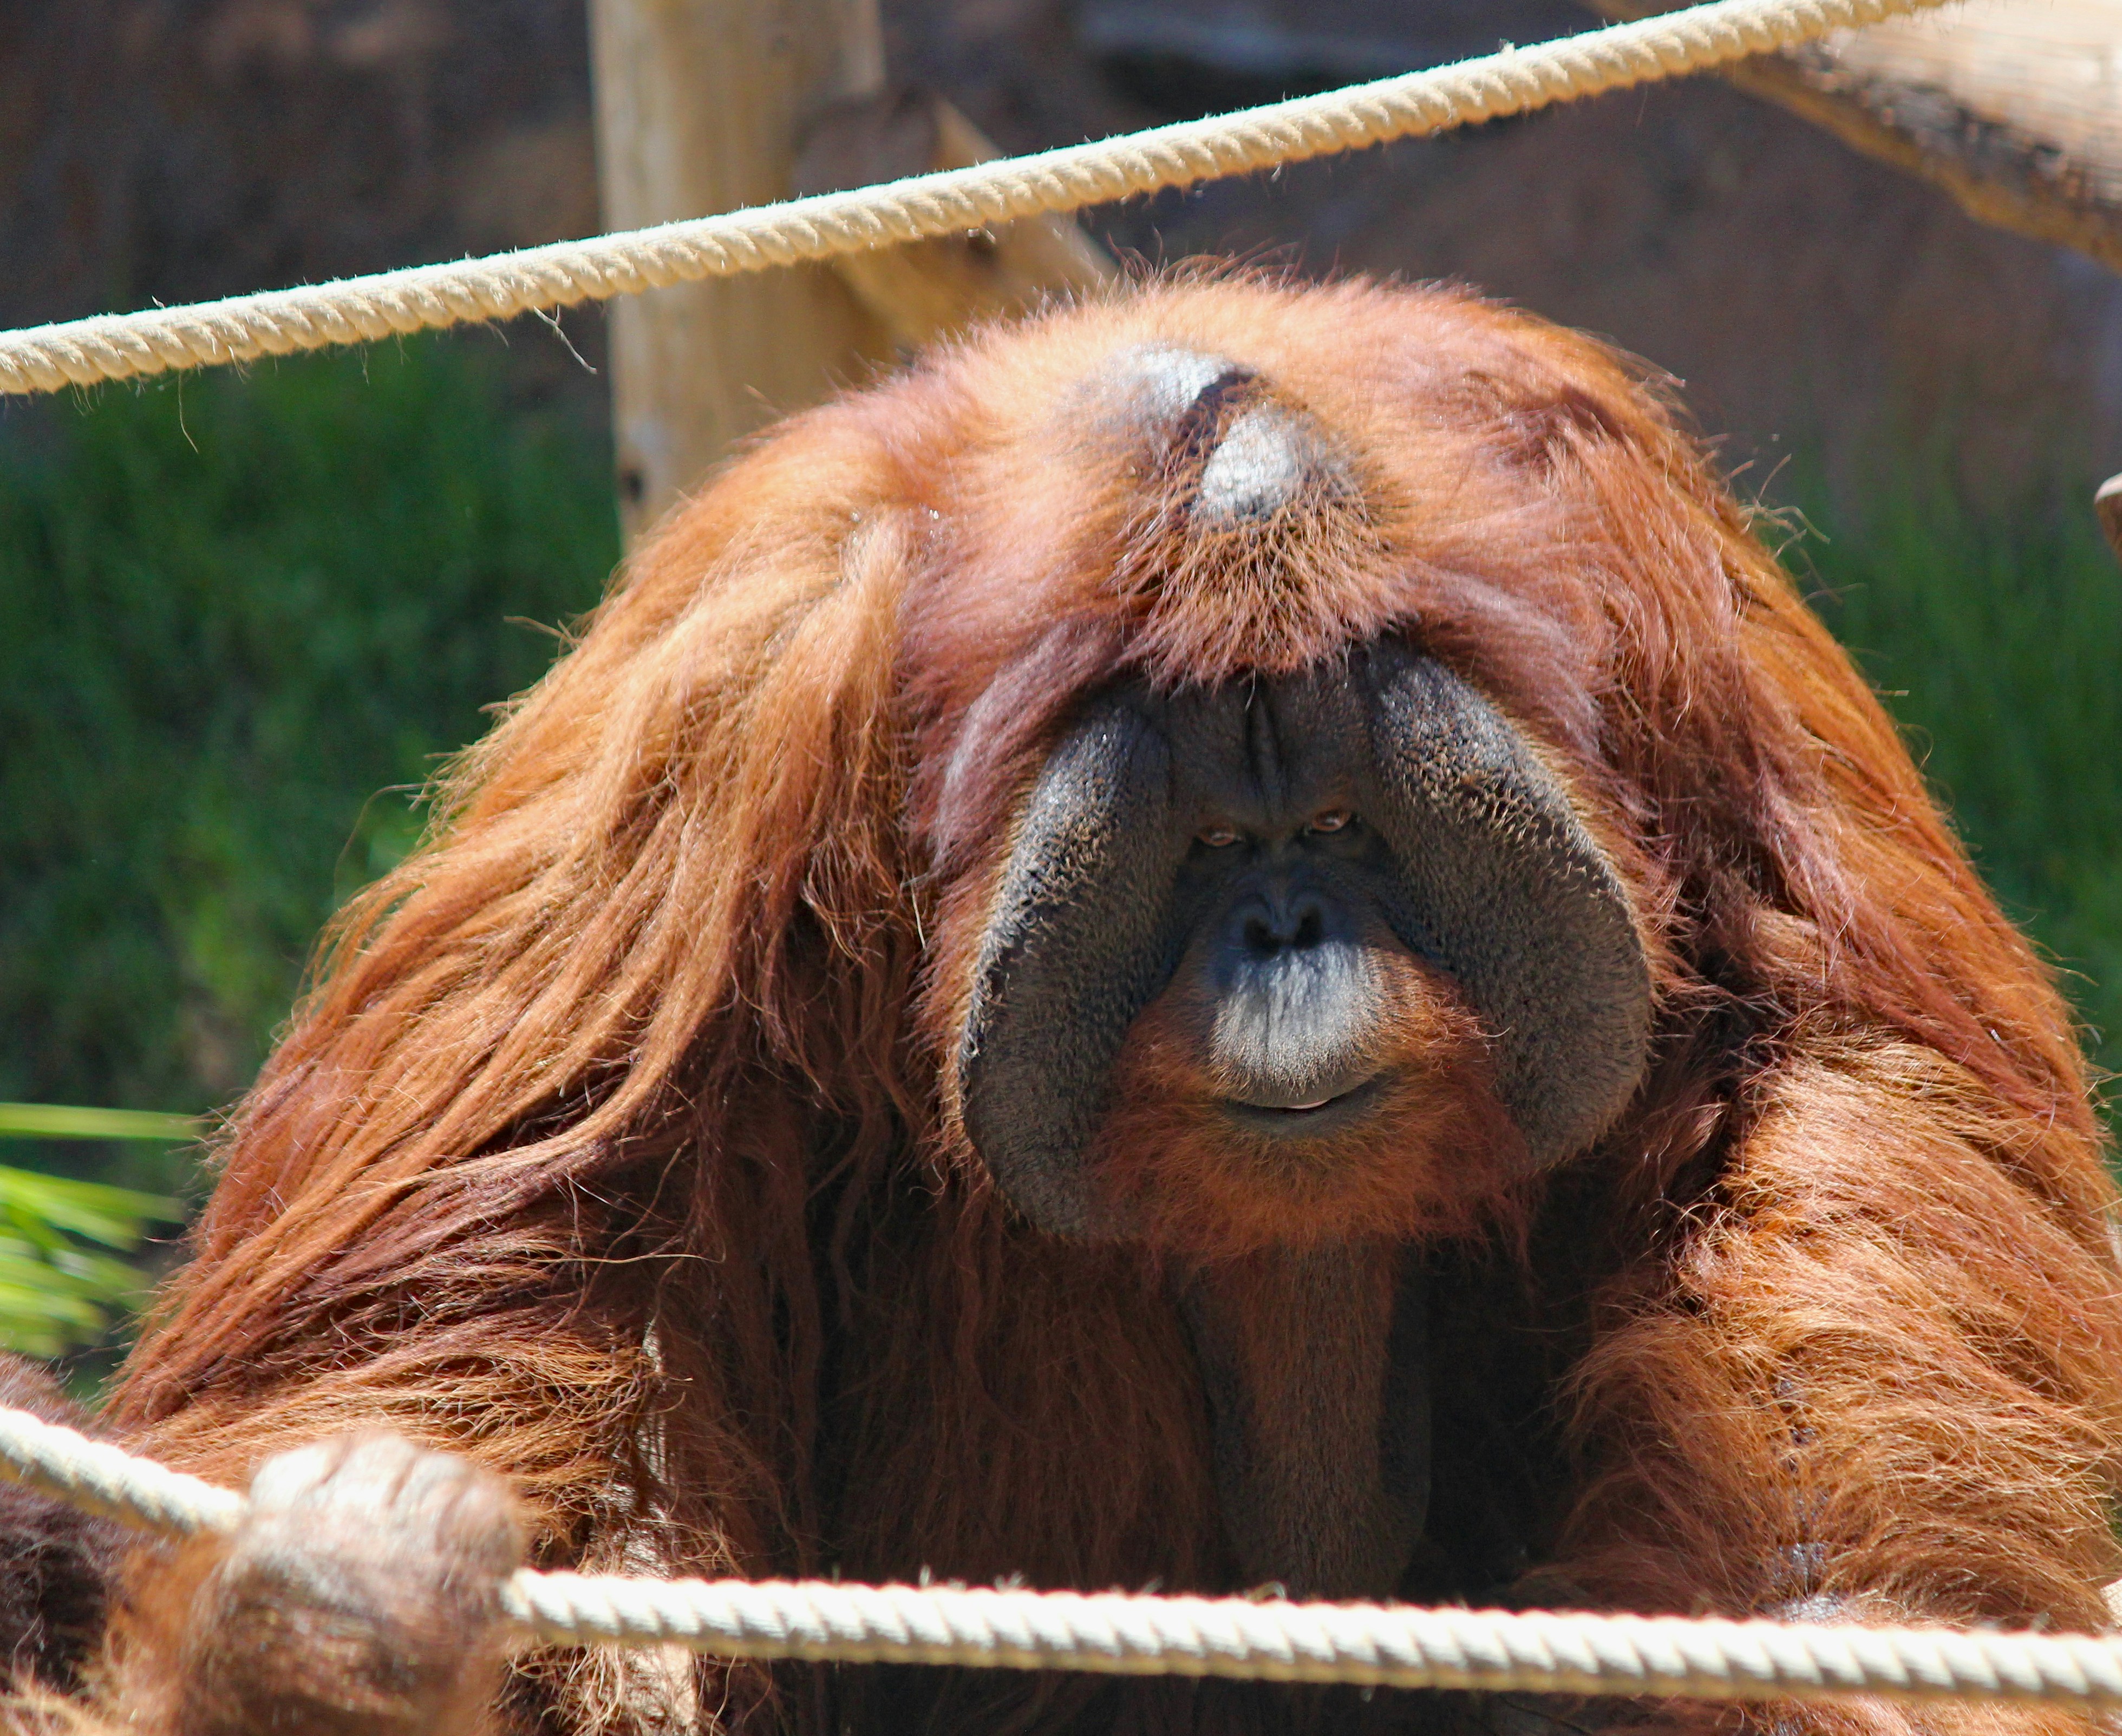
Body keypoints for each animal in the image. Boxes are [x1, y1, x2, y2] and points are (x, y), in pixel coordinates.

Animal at [4, 275, 2118, 1736]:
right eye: (1208, 857)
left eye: (1337, 829)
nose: (1283, 926)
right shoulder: (716, 707)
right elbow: (530, 1276)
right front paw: (330, 1636)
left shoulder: (1667, 598)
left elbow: (1831, 1126)